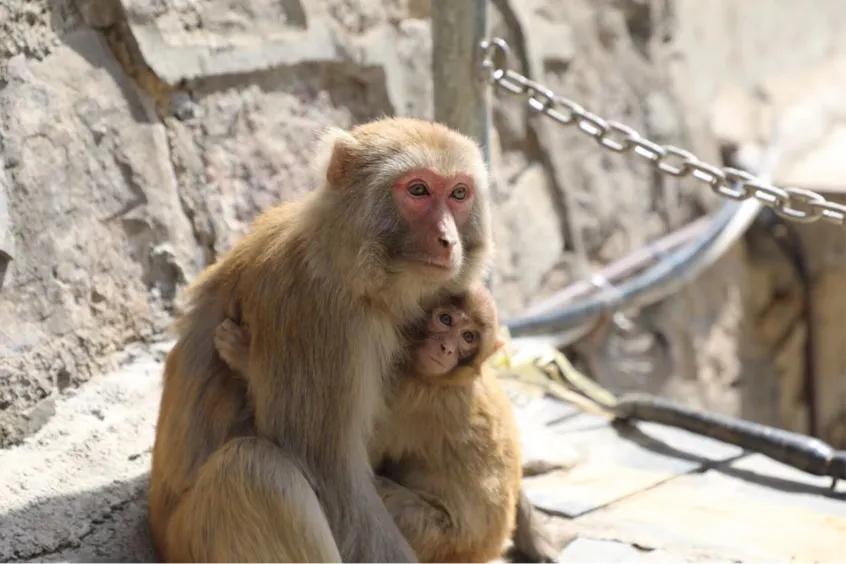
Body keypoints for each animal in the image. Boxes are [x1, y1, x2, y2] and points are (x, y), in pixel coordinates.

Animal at [149, 117, 494, 560]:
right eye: (418, 190)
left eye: (458, 194)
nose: (448, 240)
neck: (346, 262)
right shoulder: (322, 319)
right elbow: (330, 474)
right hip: (188, 538)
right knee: (252, 471)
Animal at [215, 288, 548, 560]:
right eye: (445, 319)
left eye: (468, 337)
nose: (446, 348)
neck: (448, 378)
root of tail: (484, 550)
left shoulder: (406, 400)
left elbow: (335, 452)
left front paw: (243, 355)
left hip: (435, 535)